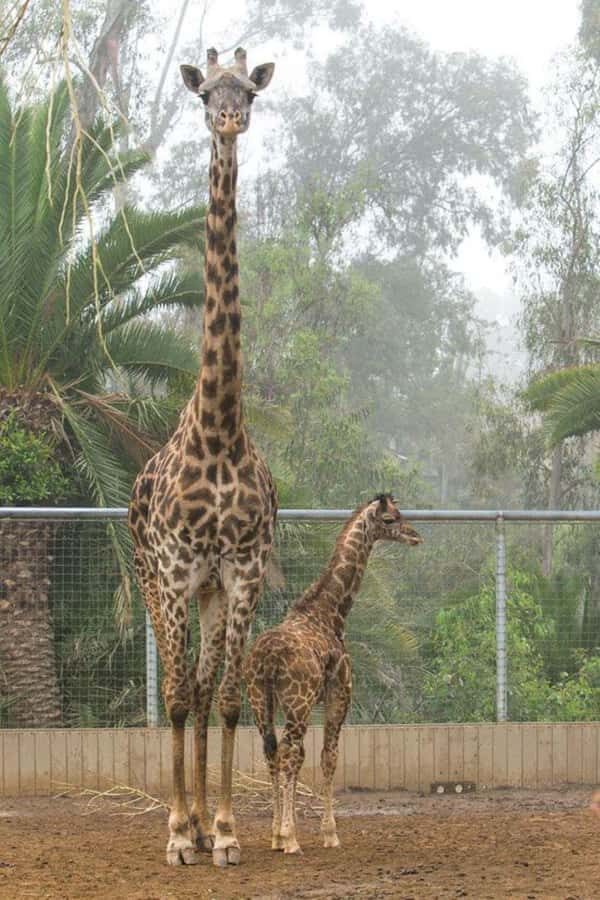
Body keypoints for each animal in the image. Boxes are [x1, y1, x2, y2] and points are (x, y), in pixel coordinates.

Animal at [244, 494, 423, 855]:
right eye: (390, 518)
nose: (414, 535)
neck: (331, 613)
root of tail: (268, 657)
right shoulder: (339, 696)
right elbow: (329, 757)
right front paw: (328, 833)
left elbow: (309, 757)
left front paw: (286, 832)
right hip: (296, 704)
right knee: (289, 754)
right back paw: (290, 839)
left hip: (260, 702)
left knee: (273, 752)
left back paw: (276, 836)